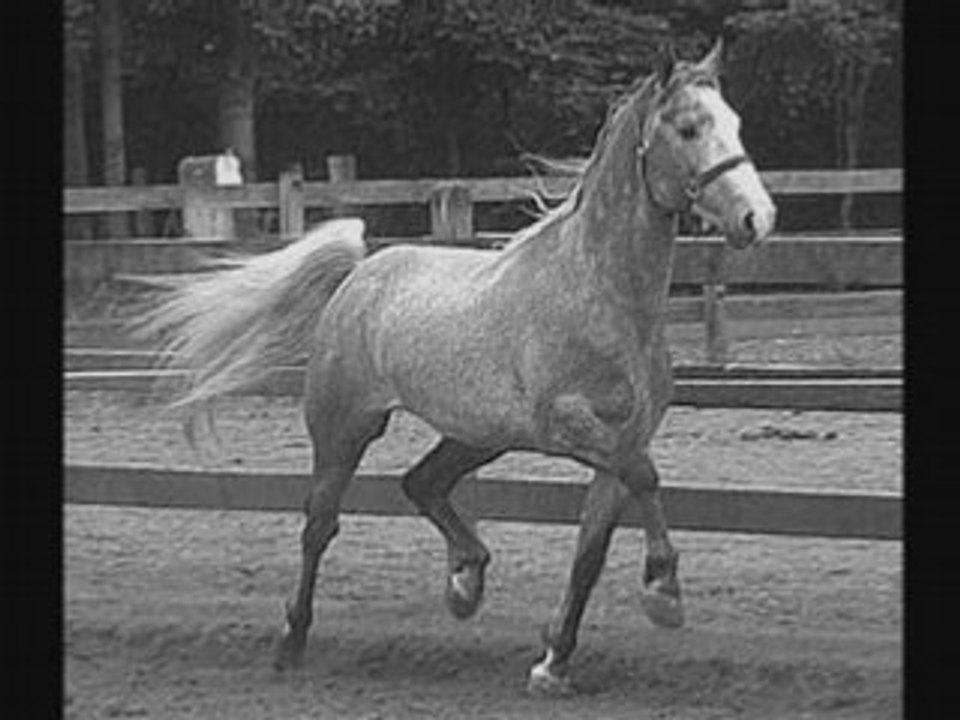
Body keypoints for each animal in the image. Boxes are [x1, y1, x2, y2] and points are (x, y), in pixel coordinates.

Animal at [137, 39, 775, 695]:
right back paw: (292, 642)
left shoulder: (623, 441)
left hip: (476, 435)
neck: (602, 297)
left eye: (735, 124)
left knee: (421, 482)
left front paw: (553, 662)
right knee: (320, 525)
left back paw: (466, 580)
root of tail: (359, 273)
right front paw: (665, 593)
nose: (759, 217)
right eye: (689, 127)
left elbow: (590, 553)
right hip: (345, 428)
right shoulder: (572, 429)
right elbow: (646, 478)